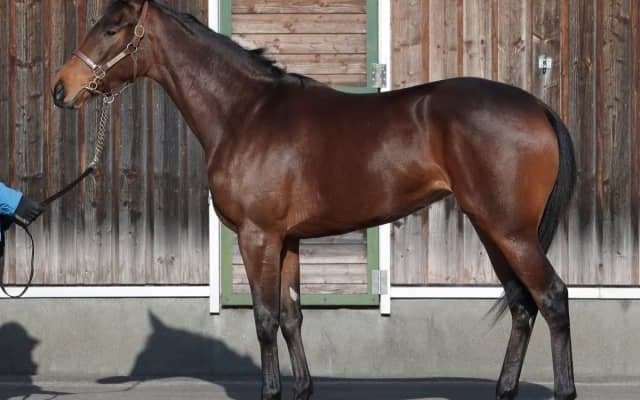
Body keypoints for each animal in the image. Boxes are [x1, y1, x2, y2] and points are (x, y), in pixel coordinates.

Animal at [51, 1, 577, 399]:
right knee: (522, 305)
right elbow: (291, 316)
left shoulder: (257, 237)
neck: (244, 114)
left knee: (551, 297)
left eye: (112, 29)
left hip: (511, 232)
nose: (61, 89)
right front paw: (300, 388)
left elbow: (265, 318)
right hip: (492, 228)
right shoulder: (287, 240)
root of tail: (537, 107)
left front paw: (271, 391)